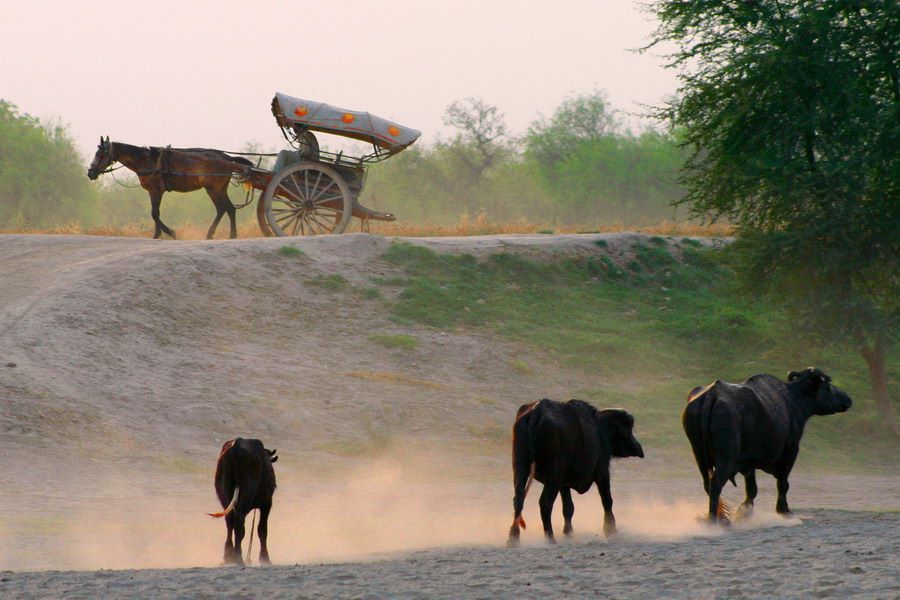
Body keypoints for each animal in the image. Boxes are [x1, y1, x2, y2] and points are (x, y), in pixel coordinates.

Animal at [87, 137, 253, 239]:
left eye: (101, 154)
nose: (90, 173)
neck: (147, 160)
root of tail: (228, 158)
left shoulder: (156, 191)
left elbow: (154, 213)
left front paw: (169, 232)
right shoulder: (152, 192)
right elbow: (155, 213)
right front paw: (157, 234)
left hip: (214, 189)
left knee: (223, 209)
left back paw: (216, 234)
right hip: (219, 189)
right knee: (228, 209)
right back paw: (227, 234)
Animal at [506, 398, 648, 544]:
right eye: (629, 428)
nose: (638, 447)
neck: (599, 430)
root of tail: (537, 411)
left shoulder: (564, 484)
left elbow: (568, 507)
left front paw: (569, 533)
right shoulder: (602, 471)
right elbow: (607, 500)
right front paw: (611, 530)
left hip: (520, 468)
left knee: (518, 499)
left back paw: (513, 537)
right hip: (553, 477)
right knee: (545, 503)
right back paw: (550, 538)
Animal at [684, 366, 852, 520]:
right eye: (828, 384)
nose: (847, 398)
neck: (792, 400)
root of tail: (711, 395)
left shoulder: (749, 461)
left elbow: (752, 488)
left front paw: (745, 511)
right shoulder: (791, 450)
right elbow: (783, 483)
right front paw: (783, 510)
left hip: (698, 454)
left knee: (707, 483)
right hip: (726, 458)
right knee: (716, 483)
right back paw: (715, 519)